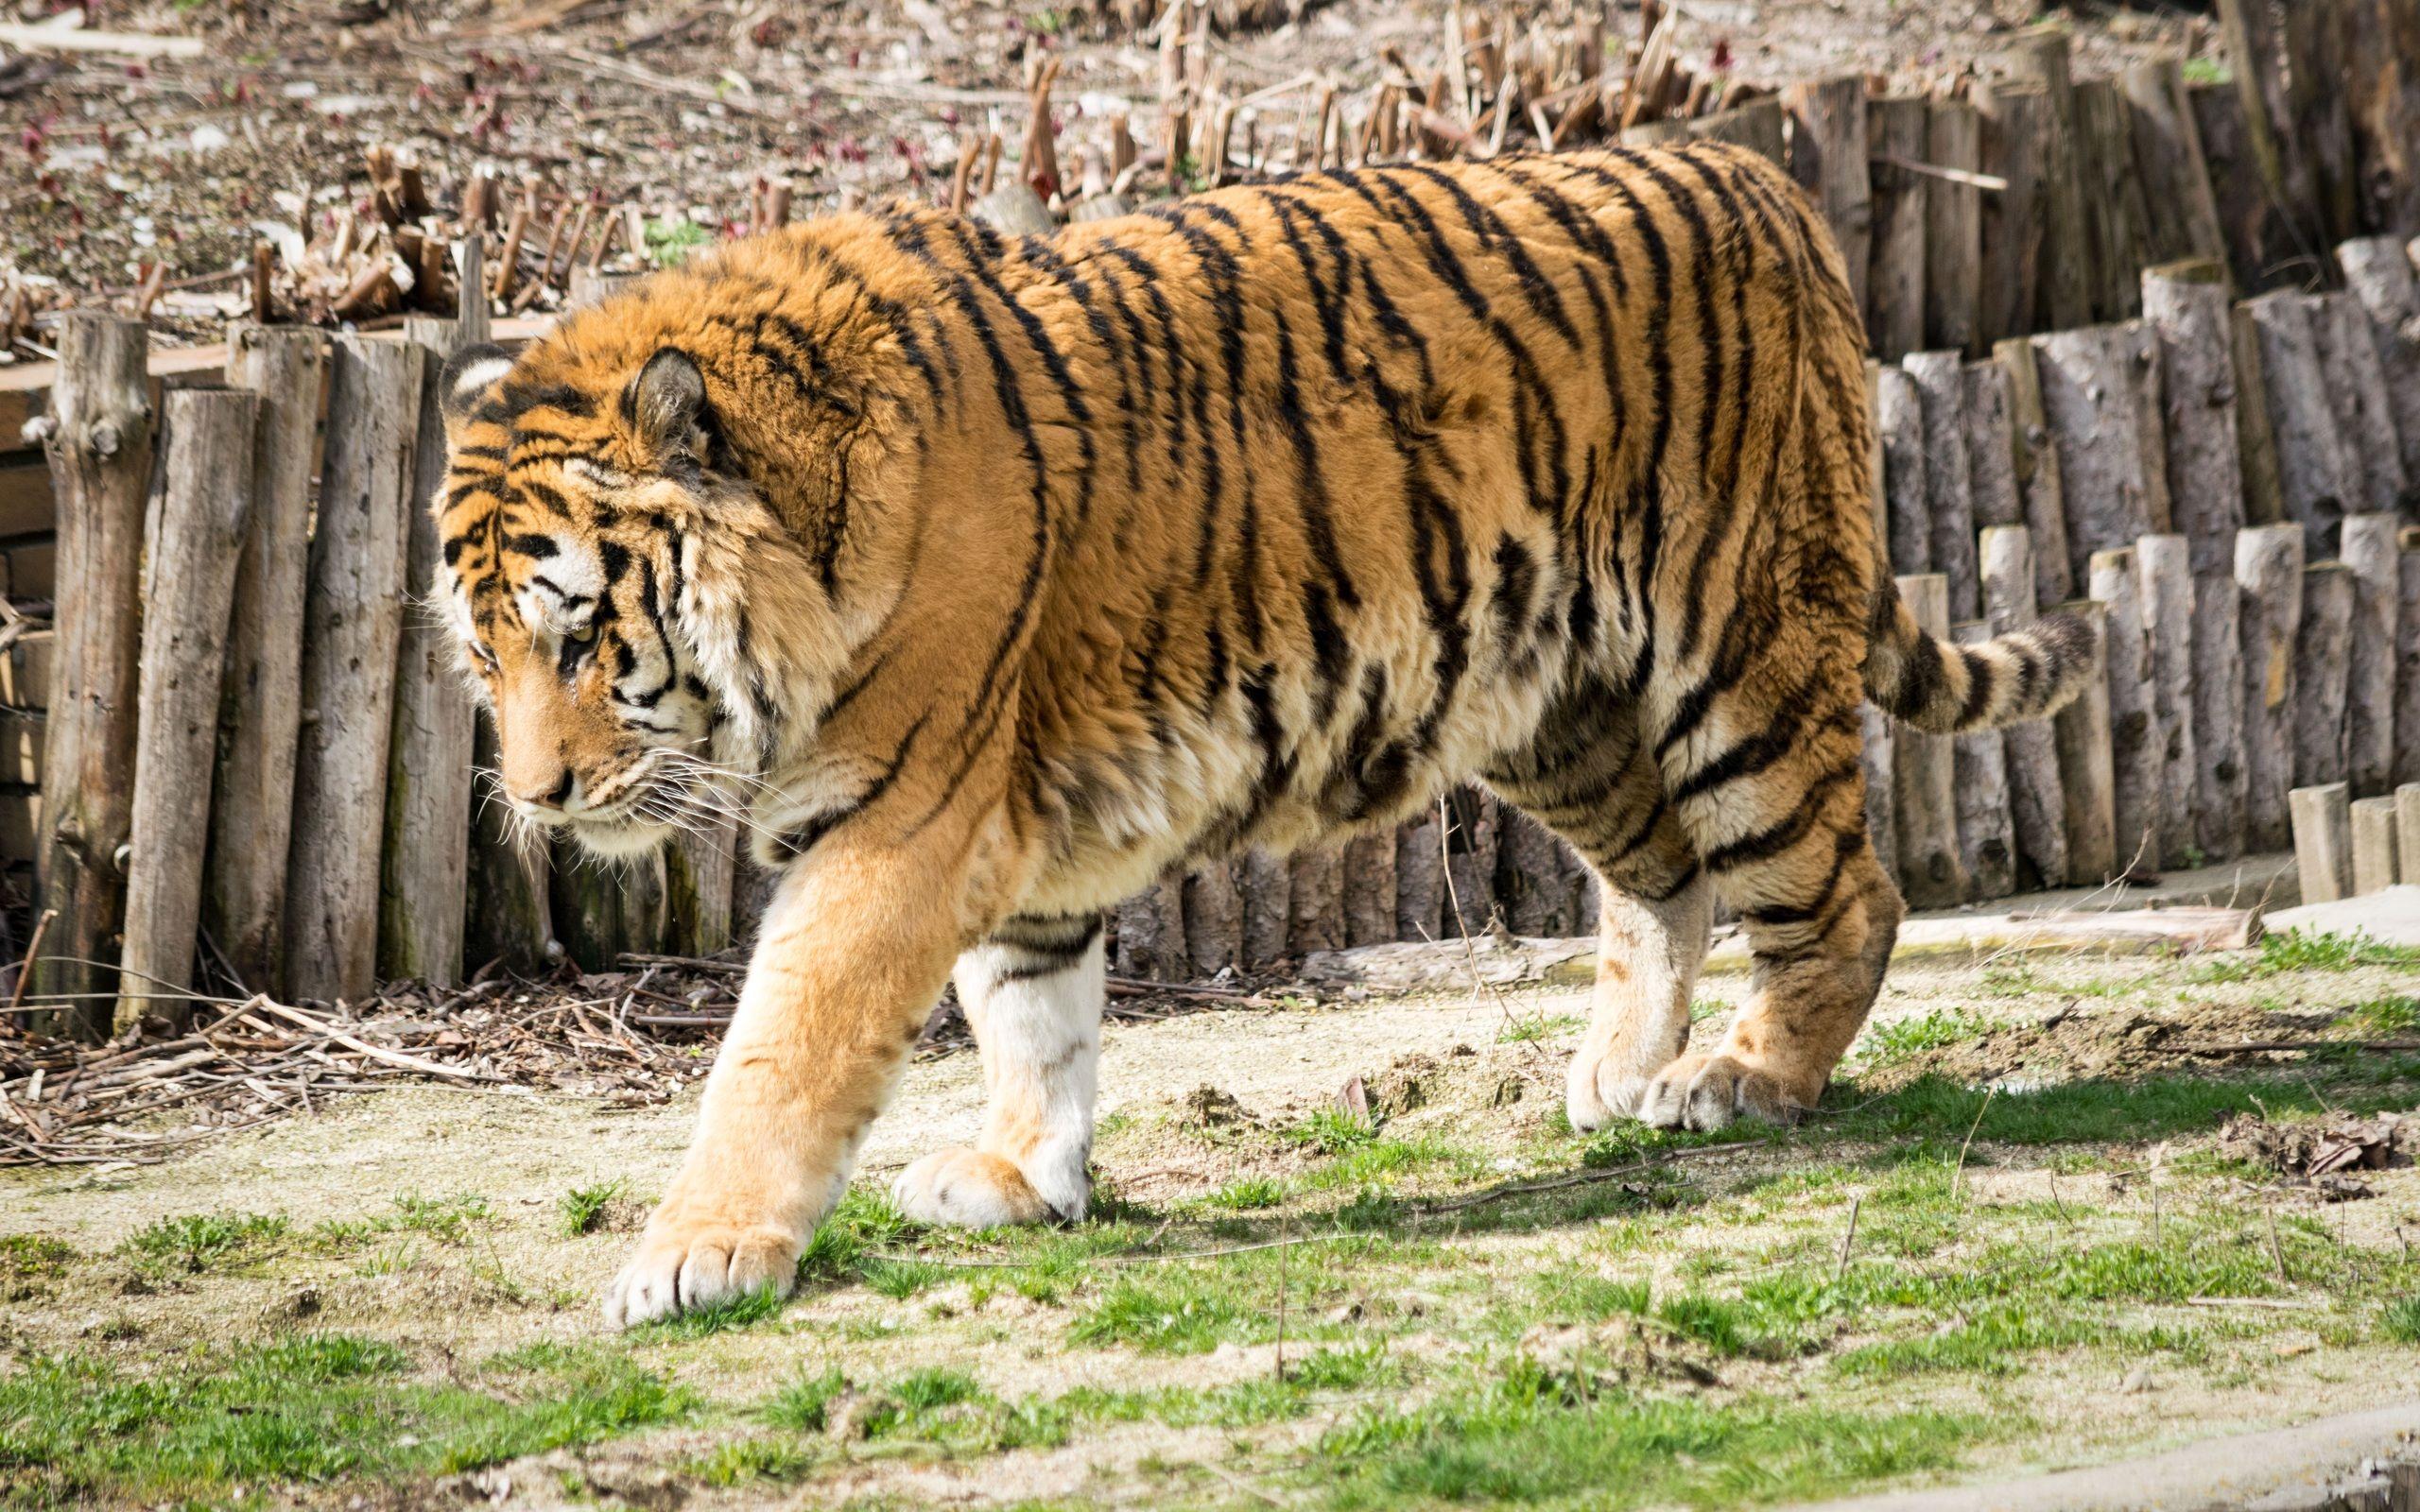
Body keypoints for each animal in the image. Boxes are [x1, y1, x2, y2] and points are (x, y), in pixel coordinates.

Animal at [430, 139, 2096, 1328]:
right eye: (485, 649)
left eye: (580, 633)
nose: (539, 797)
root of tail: (1774, 184)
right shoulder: (1002, 834)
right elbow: (1033, 1015)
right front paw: (1025, 1179)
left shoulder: (901, 824)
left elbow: (784, 1051)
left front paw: (697, 1257)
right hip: (1550, 704)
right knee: (1666, 880)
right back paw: (1622, 1075)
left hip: (1739, 652)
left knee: (1844, 891)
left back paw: (1740, 1080)